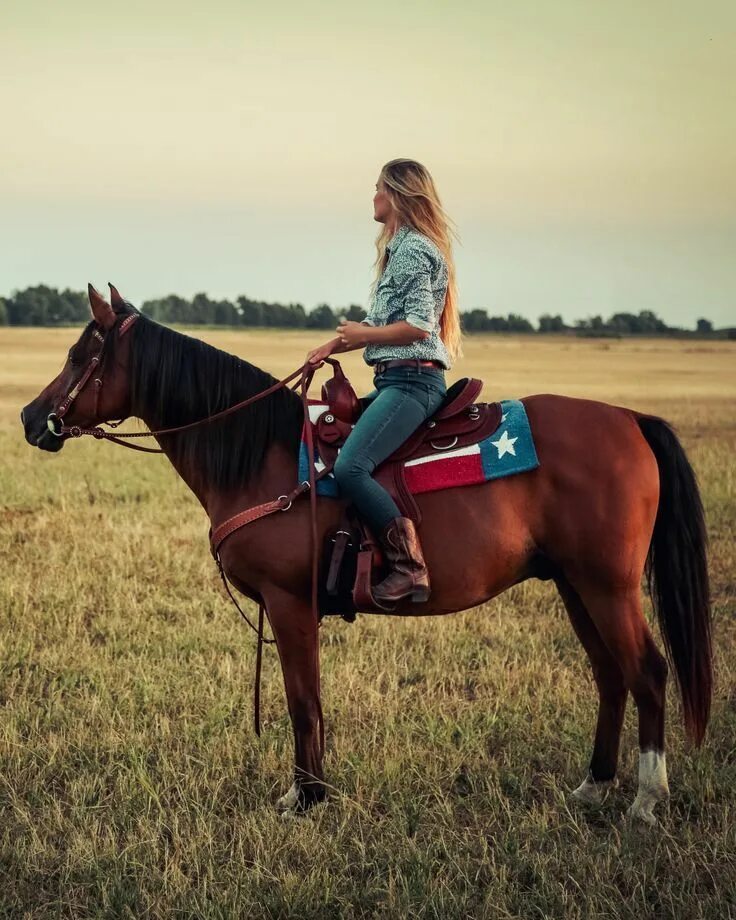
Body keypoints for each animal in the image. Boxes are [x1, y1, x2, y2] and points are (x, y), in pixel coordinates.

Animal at [21, 284, 712, 824]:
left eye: (80, 355)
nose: (31, 418)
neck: (262, 454)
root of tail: (630, 420)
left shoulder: (289, 604)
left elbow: (303, 701)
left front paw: (305, 798)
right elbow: (309, 702)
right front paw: (311, 792)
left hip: (607, 585)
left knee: (648, 671)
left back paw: (645, 801)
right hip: (573, 584)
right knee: (610, 675)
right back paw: (592, 788)